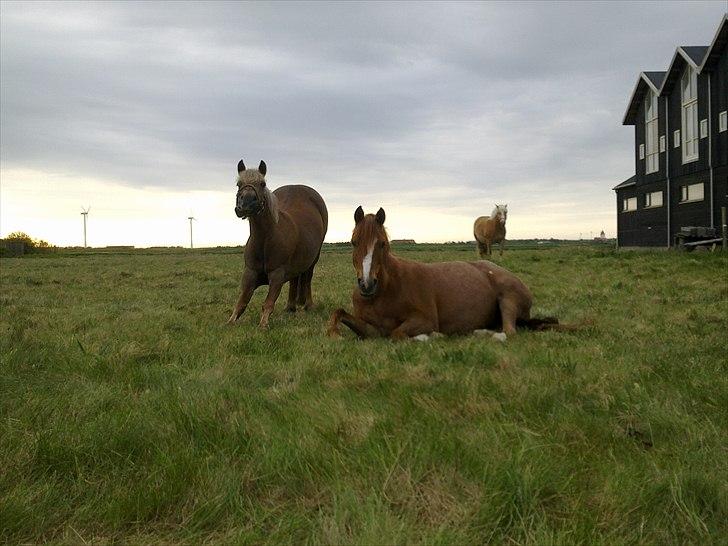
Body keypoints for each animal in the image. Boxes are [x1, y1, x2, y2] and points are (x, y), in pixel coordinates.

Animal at [229, 157, 328, 328]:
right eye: (238, 184)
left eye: (262, 184)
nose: (245, 205)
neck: (265, 240)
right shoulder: (250, 273)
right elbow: (241, 302)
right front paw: (230, 321)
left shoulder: (277, 275)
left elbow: (268, 303)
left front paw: (263, 325)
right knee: (295, 279)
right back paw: (290, 307)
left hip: (313, 259)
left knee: (307, 278)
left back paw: (308, 305)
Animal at [328, 205, 564, 338]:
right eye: (353, 242)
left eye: (383, 244)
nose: (367, 284)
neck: (385, 291)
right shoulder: (372, 330)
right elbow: (338, 312)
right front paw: (334, 333)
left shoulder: (425, 320)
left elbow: (397, 333)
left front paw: (431, 337)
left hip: (508, 300)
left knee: (508, 332)